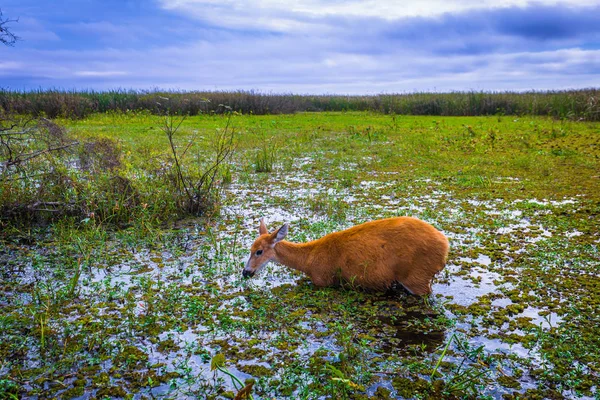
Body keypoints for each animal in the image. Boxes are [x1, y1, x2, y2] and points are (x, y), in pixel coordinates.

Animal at [241, 217, 448, 296]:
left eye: (259, 251)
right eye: (249, 248)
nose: (245, 272)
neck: (308, 260)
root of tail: (445, 245)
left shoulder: (322, 280)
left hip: (417, 276)